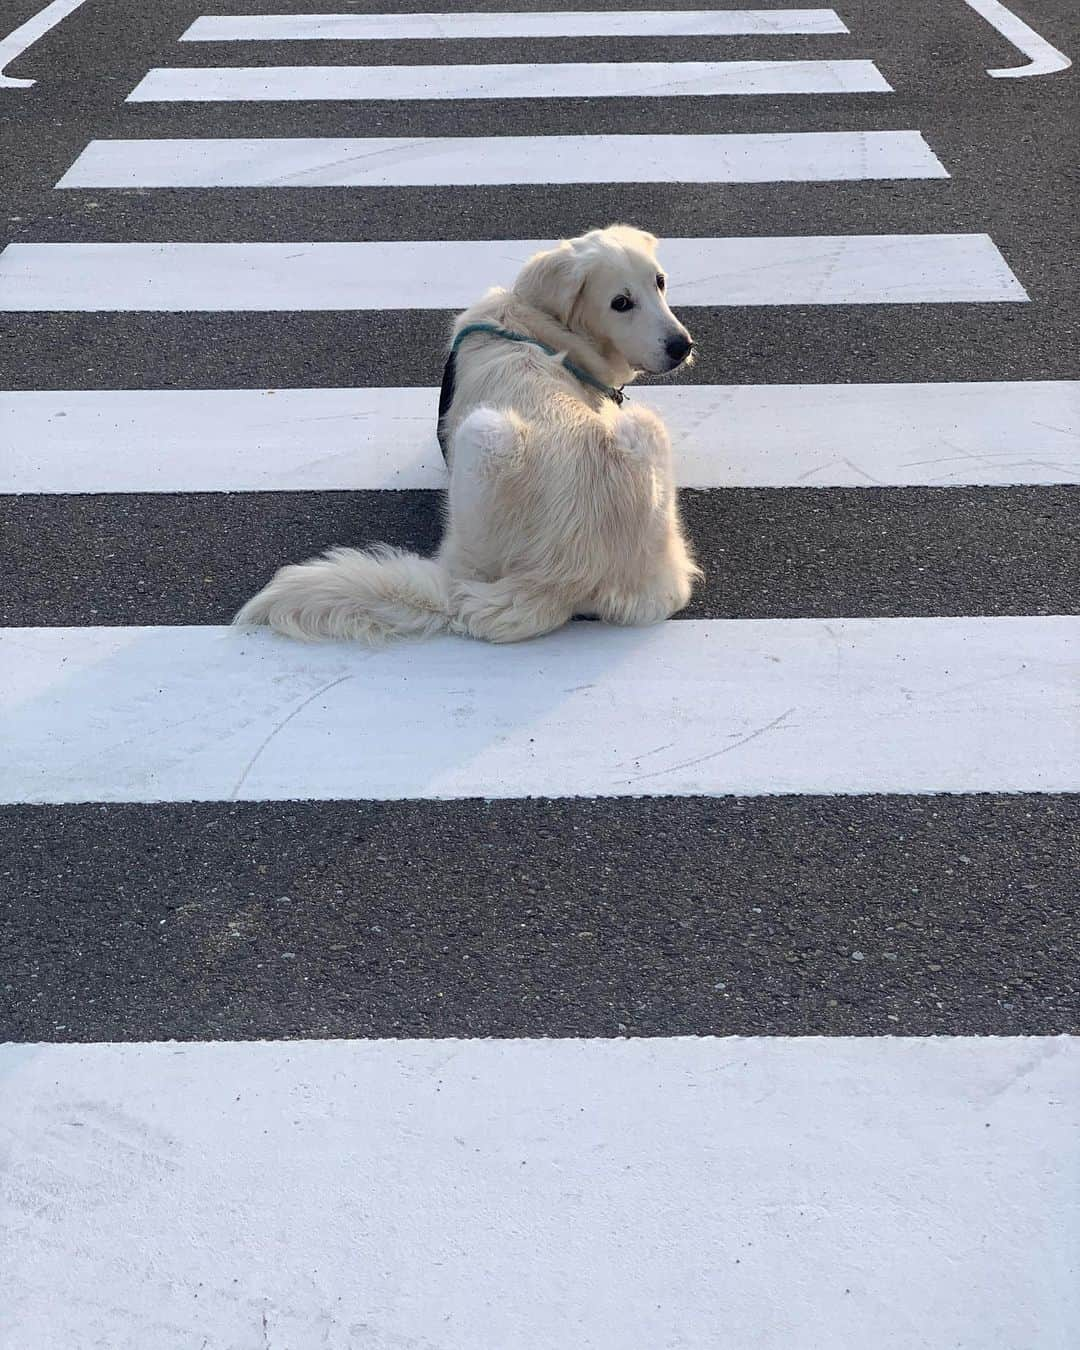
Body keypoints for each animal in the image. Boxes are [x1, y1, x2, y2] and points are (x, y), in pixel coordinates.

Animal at [234, 221, 702, 642]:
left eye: (659, 282)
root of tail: (559, 579)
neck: (531, 326)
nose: (683, 346)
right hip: (644, 431)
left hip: (481, 433)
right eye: (621, 302)